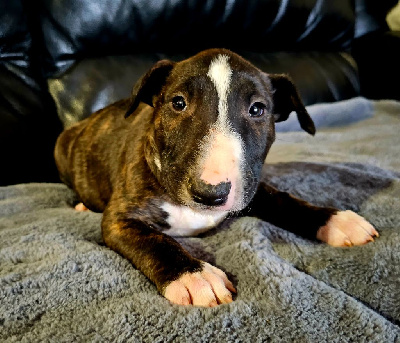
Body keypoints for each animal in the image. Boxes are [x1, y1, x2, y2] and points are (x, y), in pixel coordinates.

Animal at [54, 47, 378, 306]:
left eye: (258, 109)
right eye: (178, 103)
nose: (210, 193)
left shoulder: (250, 187)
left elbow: (283, 200)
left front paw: (336, 220)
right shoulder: (121, 219)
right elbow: (155, 241)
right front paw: (195, 277)